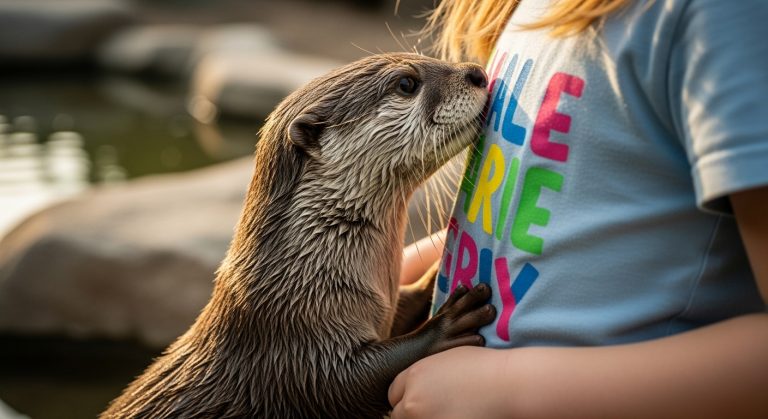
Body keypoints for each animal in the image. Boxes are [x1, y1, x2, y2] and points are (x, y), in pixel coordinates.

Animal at [102, 53, 493, 419]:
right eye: (407, 83)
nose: (477, 72)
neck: (299, 273)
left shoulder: (375, 306)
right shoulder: (293, 341)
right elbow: (346, 383)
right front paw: (448, 323)